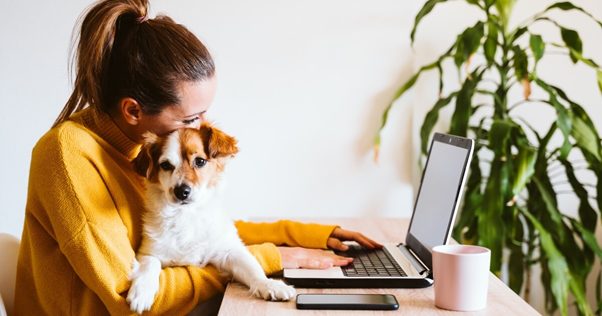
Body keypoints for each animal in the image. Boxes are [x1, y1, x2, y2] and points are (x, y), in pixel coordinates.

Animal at [125, 123, 294, 314]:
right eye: (166, 165)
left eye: (200, 161)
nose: (181, 191)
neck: (187, 216)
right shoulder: (148, 251)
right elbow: (150, 264)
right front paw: (142, 292)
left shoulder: (229, 251)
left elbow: (252, 268)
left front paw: (270, 285)